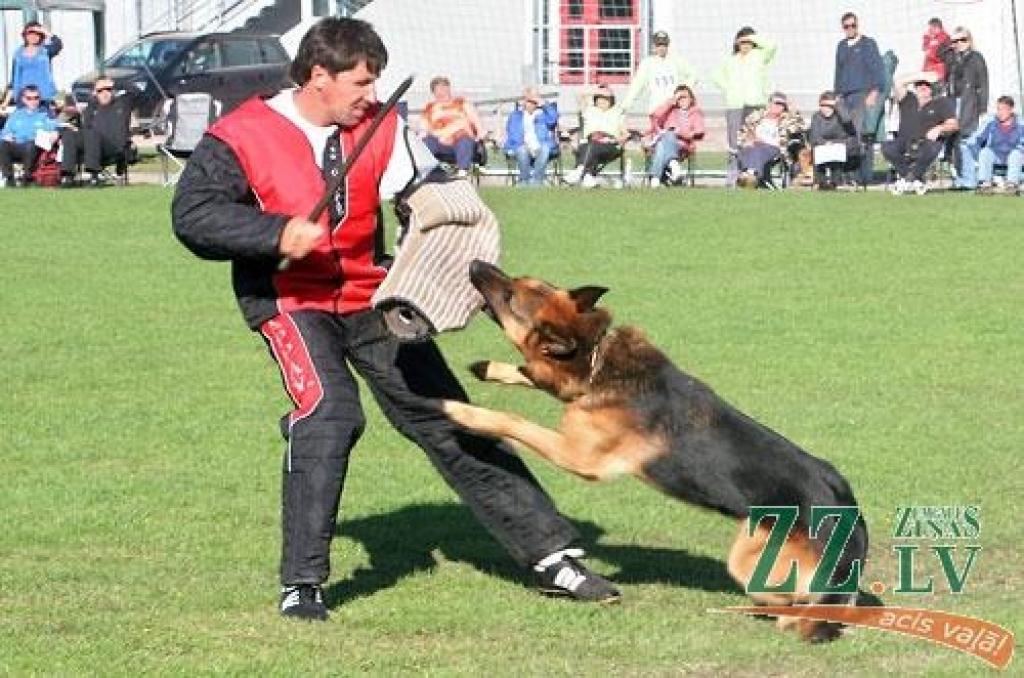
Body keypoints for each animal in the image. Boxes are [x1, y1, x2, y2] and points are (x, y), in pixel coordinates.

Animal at [444, 260, 868, 643]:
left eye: (512, 294)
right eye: (522, 279)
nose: (476, 262)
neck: (597, 357)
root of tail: (851, 518)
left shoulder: (577, 455)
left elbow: (514, 420)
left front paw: (460, 411)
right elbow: (528, 374)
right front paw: (488, 367)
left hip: (749, 561)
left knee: (797, 601)